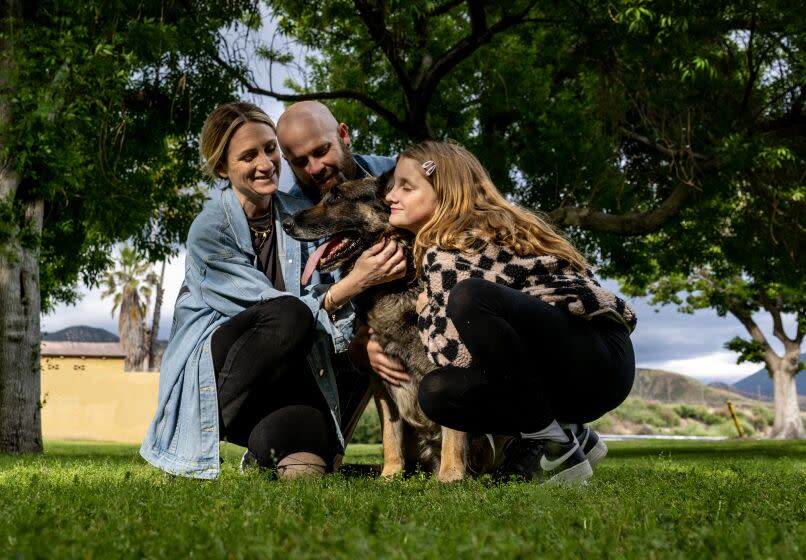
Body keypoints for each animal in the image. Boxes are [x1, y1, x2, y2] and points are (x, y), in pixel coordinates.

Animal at [284, 172, 508, 482]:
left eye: (337, 197)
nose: (286, 223)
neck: (398, 284)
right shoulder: (380, 380)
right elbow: (390, 434)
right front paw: (390, 474)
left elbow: (452, 433)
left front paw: (450, 475)